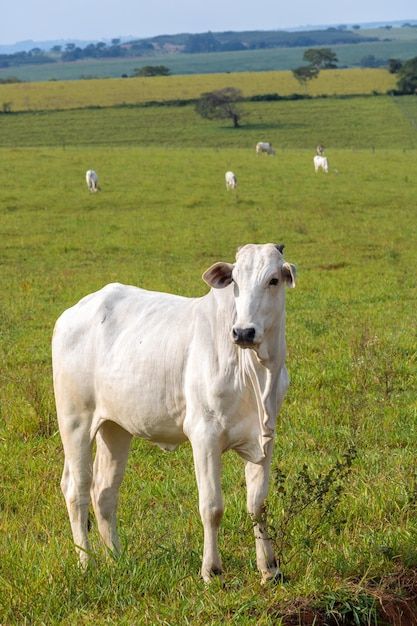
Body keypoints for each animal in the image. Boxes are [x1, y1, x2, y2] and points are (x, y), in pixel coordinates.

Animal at [52, 243, 296, 580]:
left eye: (273, 280)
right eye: (235, 281)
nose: (244, 332)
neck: (256, 374)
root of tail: (74, 312)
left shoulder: (265, 437)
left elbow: (257, 505)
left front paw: (269, 569)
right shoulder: (204, 436)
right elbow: (212, 507)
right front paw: (212, 570)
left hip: (115, 427)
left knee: (104, 492)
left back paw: (116, 559)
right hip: (75, 420)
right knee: (77, 489)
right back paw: (87, 563)